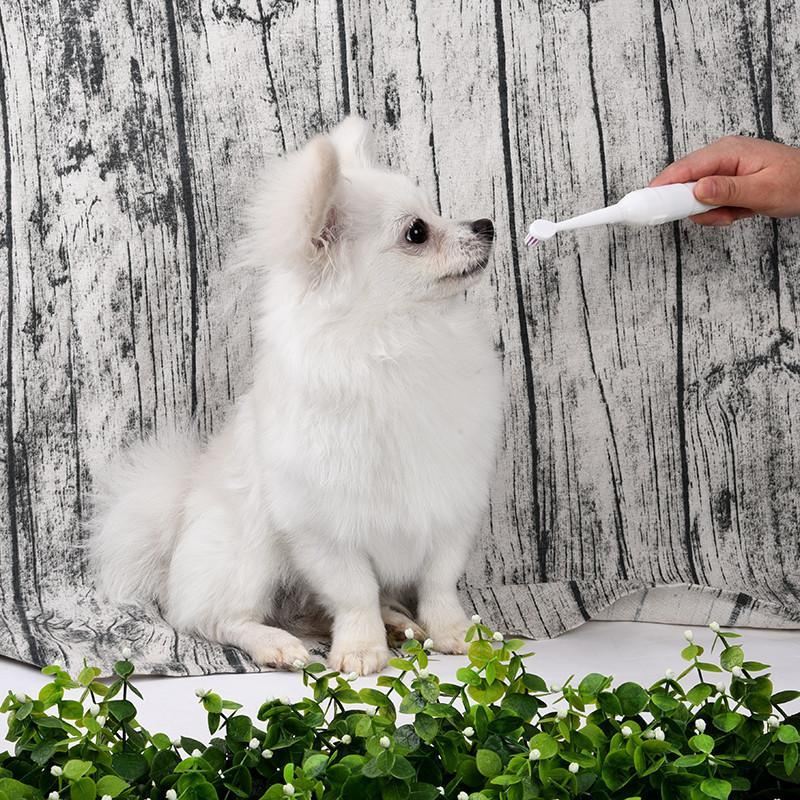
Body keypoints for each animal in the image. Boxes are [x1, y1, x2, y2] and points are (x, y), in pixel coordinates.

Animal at [90, 115, 504, 672]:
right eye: (417, 231)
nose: (485, 225)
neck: (396, 346)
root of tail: (175, 521)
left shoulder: (450, 505)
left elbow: (439, 584)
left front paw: (456, 633)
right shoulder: (324, 528)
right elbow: (354, 593)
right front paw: (362, 649)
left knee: (317, 609)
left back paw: (397, 621)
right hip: (250, 555)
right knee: (219, 619)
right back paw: (278, 644)